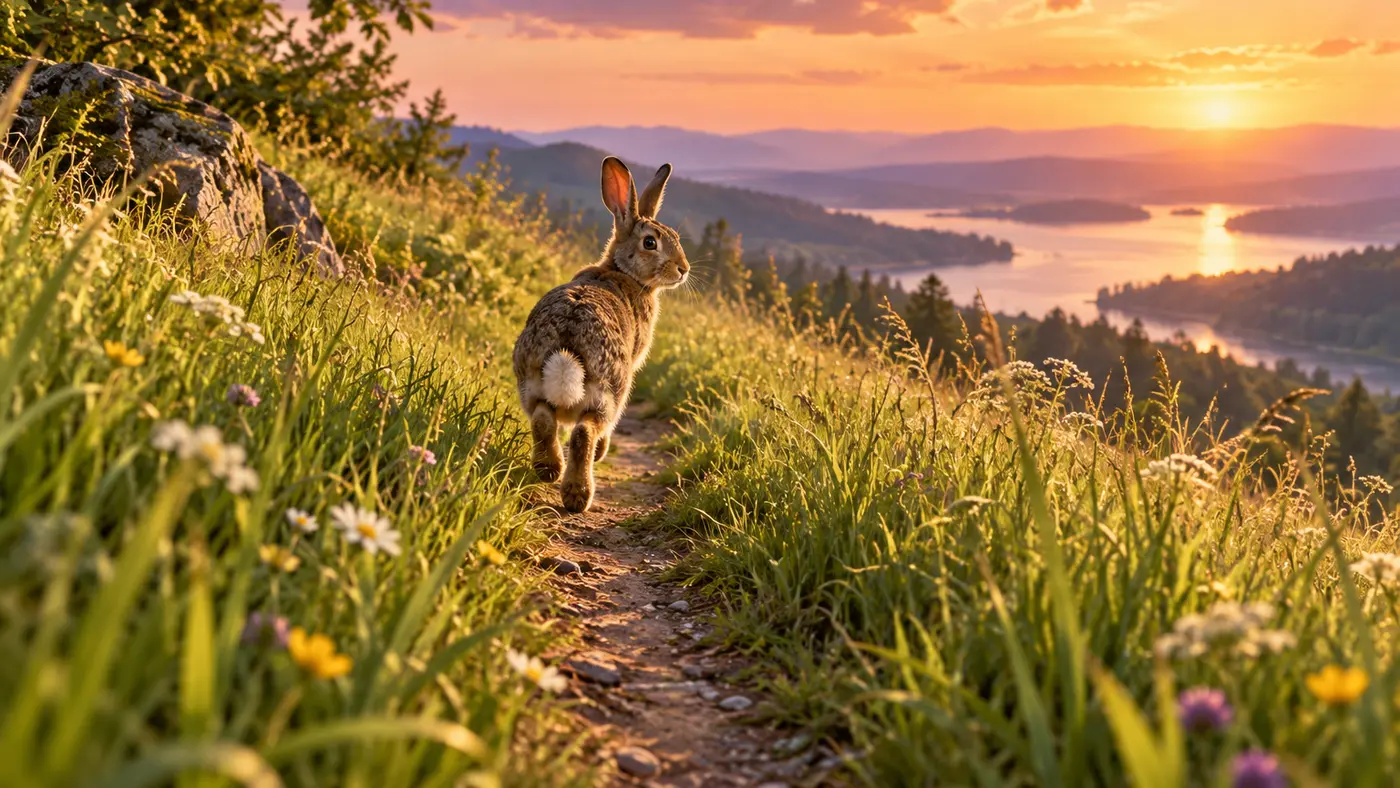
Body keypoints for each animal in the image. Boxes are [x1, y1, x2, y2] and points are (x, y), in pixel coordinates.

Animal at [513, 156, 690, 513]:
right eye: (650, 242)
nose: (683, 269)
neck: (624, 271)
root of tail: (567, 342)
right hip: (609, 392)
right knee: (584, 432)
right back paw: (579, 493)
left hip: (531, 384)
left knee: (542, 420)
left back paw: (549, 470)